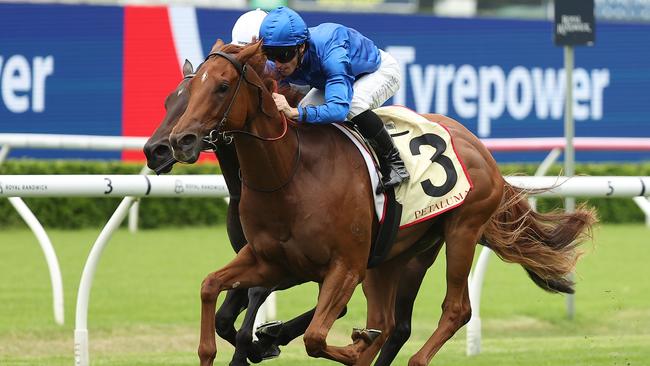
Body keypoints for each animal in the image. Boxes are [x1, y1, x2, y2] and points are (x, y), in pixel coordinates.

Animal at [166, 41, 592, 364]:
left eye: (222, 86)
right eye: (186, 91)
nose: (178, 141)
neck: (290, 174)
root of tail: (479, 148)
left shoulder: (344, 266)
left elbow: (317, 337)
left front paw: (326, 342)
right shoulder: (270, 260)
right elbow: (210, 287)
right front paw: (237, 343)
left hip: (461, 231)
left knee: (454, 310)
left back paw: (411, 355)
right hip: (395, 255)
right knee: (389, 321)